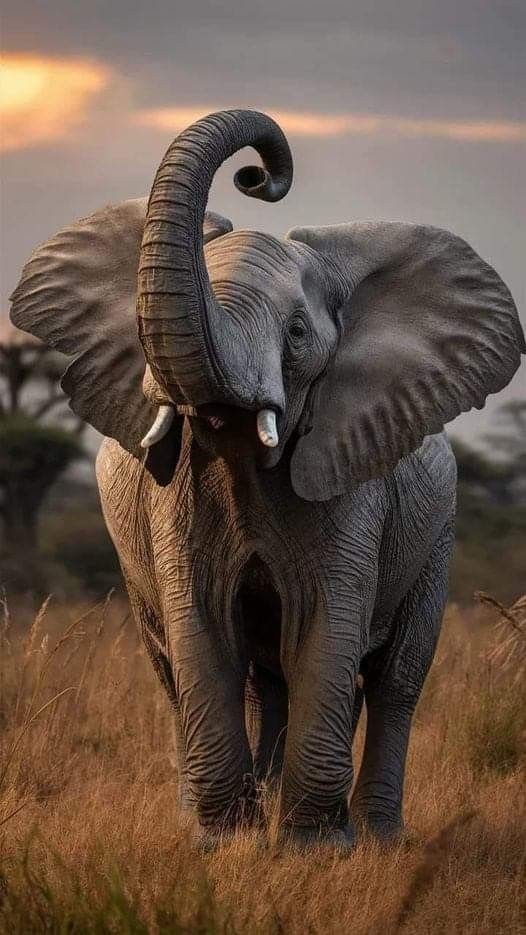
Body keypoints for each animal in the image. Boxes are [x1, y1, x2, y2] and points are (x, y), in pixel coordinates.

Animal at [10, 109, 524, 848]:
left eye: (299, 331)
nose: (256, 175)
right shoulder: (176, 492)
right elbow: (200, 627)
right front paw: (225, 844)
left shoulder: (351, 484)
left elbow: (325, 625)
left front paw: (314, 850)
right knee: (198, 672)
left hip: (439, 527)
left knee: (396, 675)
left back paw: (377, 836)